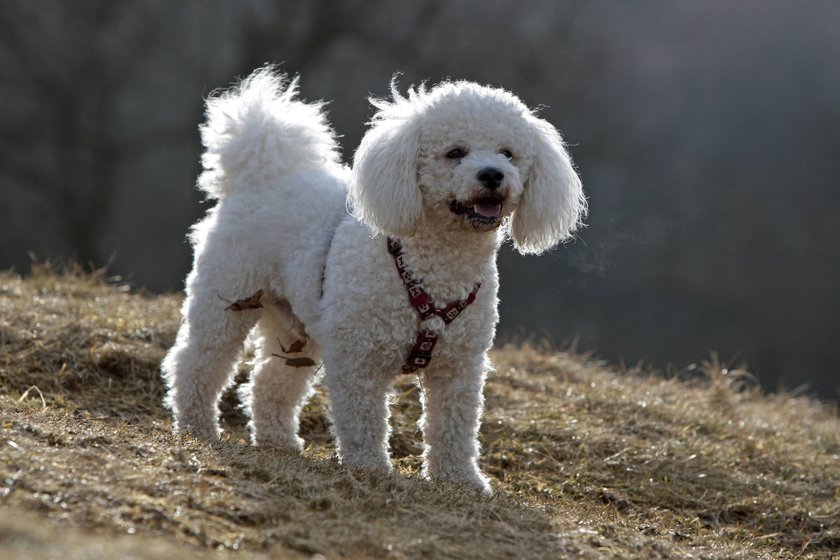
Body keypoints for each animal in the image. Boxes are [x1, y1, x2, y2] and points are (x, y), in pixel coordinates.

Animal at [161, 68, 588, 492]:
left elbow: (454, 426)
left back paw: (278, 441)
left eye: (508, 153)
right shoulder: (358, 357)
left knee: (270, 380)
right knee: (197, 362)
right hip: (228, 297)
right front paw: (369, 468)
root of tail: (264, 174)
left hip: (298, 324)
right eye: (455, 152)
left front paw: (460, 480)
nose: (493, 175)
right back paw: (197, 427)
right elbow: (362, 418)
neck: (433, 268)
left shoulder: (460, 367)